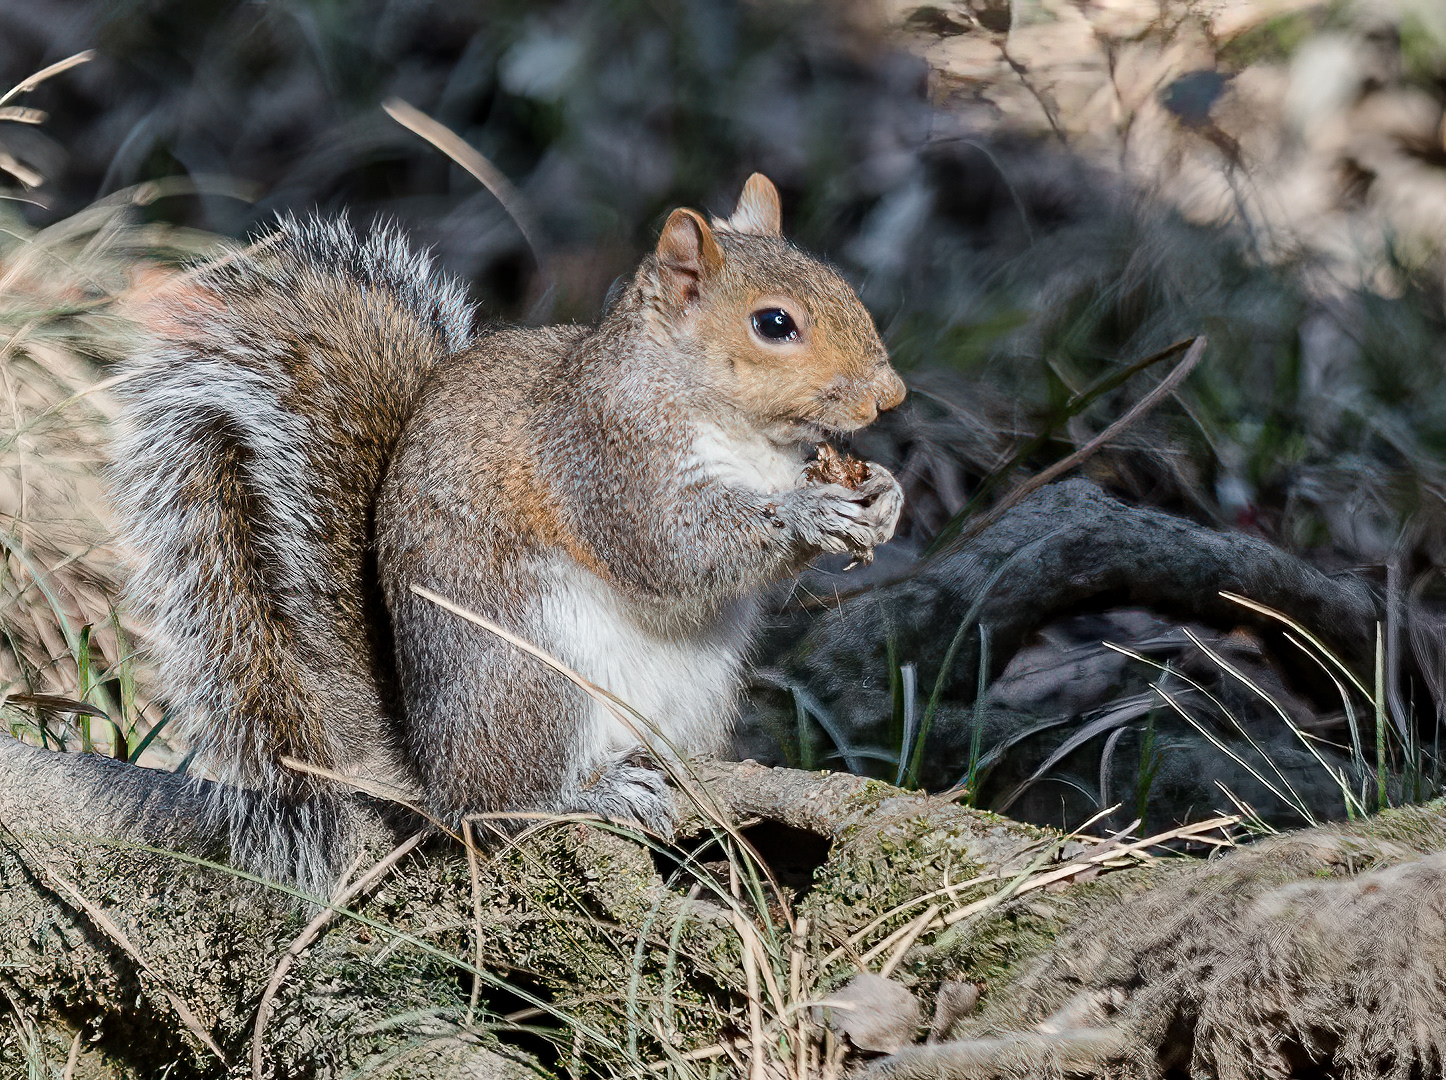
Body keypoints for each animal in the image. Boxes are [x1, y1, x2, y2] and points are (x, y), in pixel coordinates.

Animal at [93, 173, 906, 893]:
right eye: (774, 324)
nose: (890, 395)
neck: (742, 434)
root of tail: (431, 770)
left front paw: (885, 496)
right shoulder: (603, 459)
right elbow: (671, 551)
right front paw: (810, 512)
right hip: (534, 678)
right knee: (500, 810)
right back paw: (587, 794)